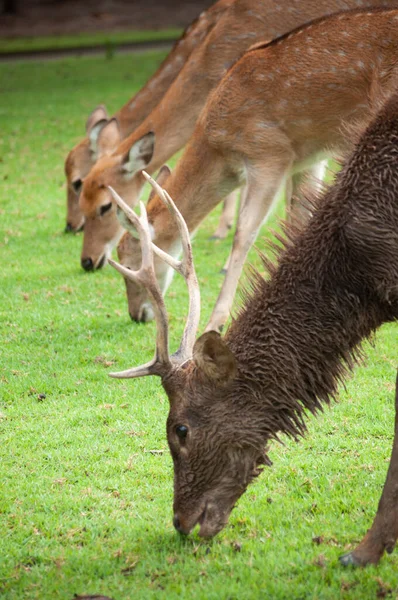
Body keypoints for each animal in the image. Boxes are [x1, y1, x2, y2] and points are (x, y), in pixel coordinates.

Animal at [115, 4, 398, 330]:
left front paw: (215, 322)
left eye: (130, 264)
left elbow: (244, 234)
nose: (137, 314)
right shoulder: (309, 158)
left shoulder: (269, 153)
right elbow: (298, 220)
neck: (220, 150)